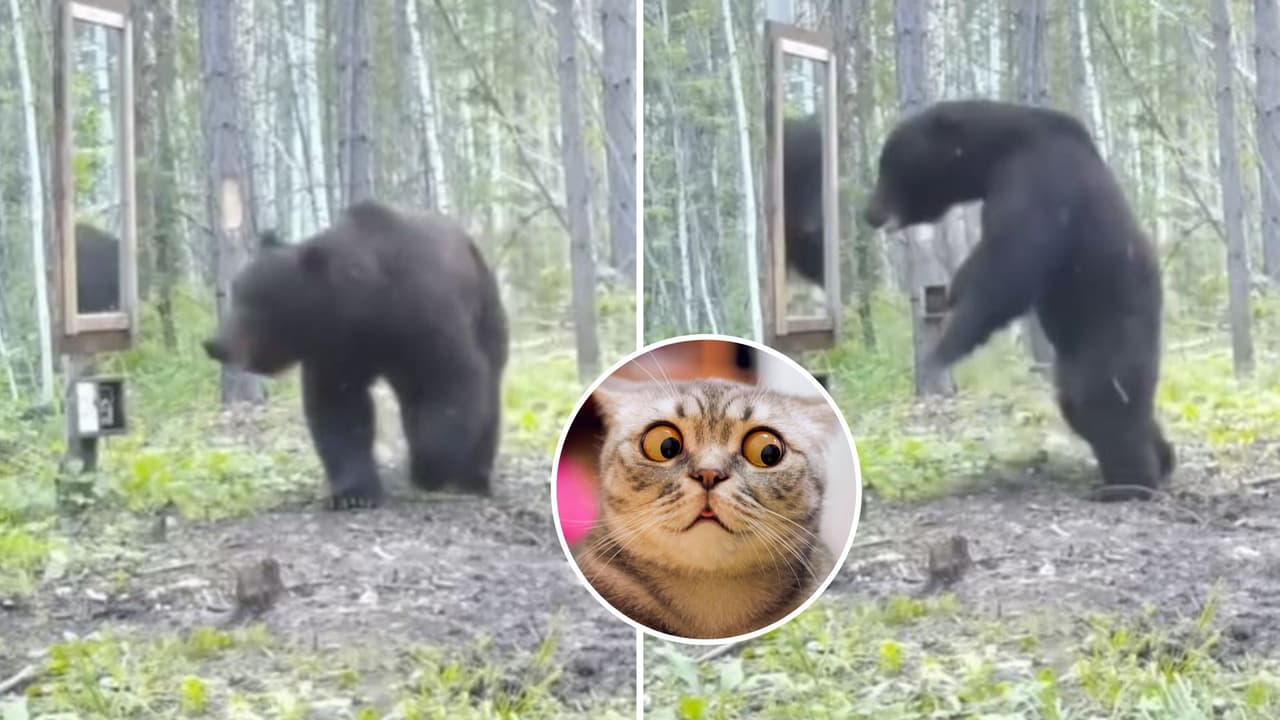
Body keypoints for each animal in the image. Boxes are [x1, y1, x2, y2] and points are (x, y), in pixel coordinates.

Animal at [202, 200, 509, 509]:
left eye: (257, 302)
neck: (366, 308)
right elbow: (339, 408)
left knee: (487, 390)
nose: (215, 344)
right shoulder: (338, 351)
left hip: (486, 310)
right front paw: (353, 493)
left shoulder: (424, 318)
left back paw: (474, 477)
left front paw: (430, 468)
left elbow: (454, 380)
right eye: (235, 293)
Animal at [862, 99, 1173, 501]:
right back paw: (1162, 459)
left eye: (888, 165)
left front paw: (943, 346)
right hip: (1075, 355)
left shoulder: (1037, 179)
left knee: (1103, 397)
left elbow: (1009, 264)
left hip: (1112, 327)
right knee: (1084, 404)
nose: (869, 213)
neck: (998, 150)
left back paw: (1129, 484)